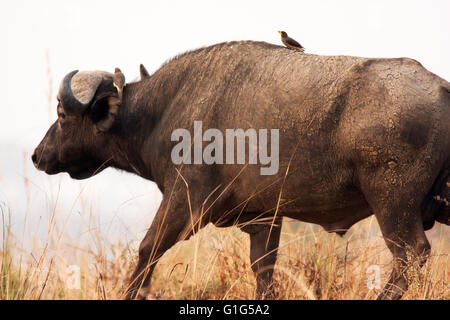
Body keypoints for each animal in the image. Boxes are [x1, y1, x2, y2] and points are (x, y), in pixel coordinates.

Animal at [32, 40, 450, 300]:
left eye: (62, 114)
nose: (38, 156)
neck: (160, 111)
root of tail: (442, 90)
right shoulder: (265, 219)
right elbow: (263, 271)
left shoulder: (185, 202)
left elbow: (147, 250)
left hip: (393, 206)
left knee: (410, 256)